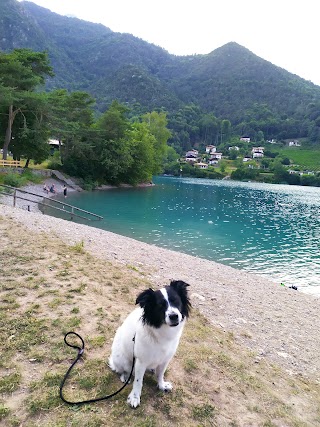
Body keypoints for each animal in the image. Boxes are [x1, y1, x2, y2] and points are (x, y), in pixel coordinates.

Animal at [109, 280, 191, 408]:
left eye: (176, 301)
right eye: (160, 305)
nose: (174, 316)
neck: (162, 332)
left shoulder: (165, 359)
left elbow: (160, 374)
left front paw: (162, 386)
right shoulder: (140, 362)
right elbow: (138, 382)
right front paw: (135, 397)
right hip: (122, 359)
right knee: (123, 370)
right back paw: (125, 377)